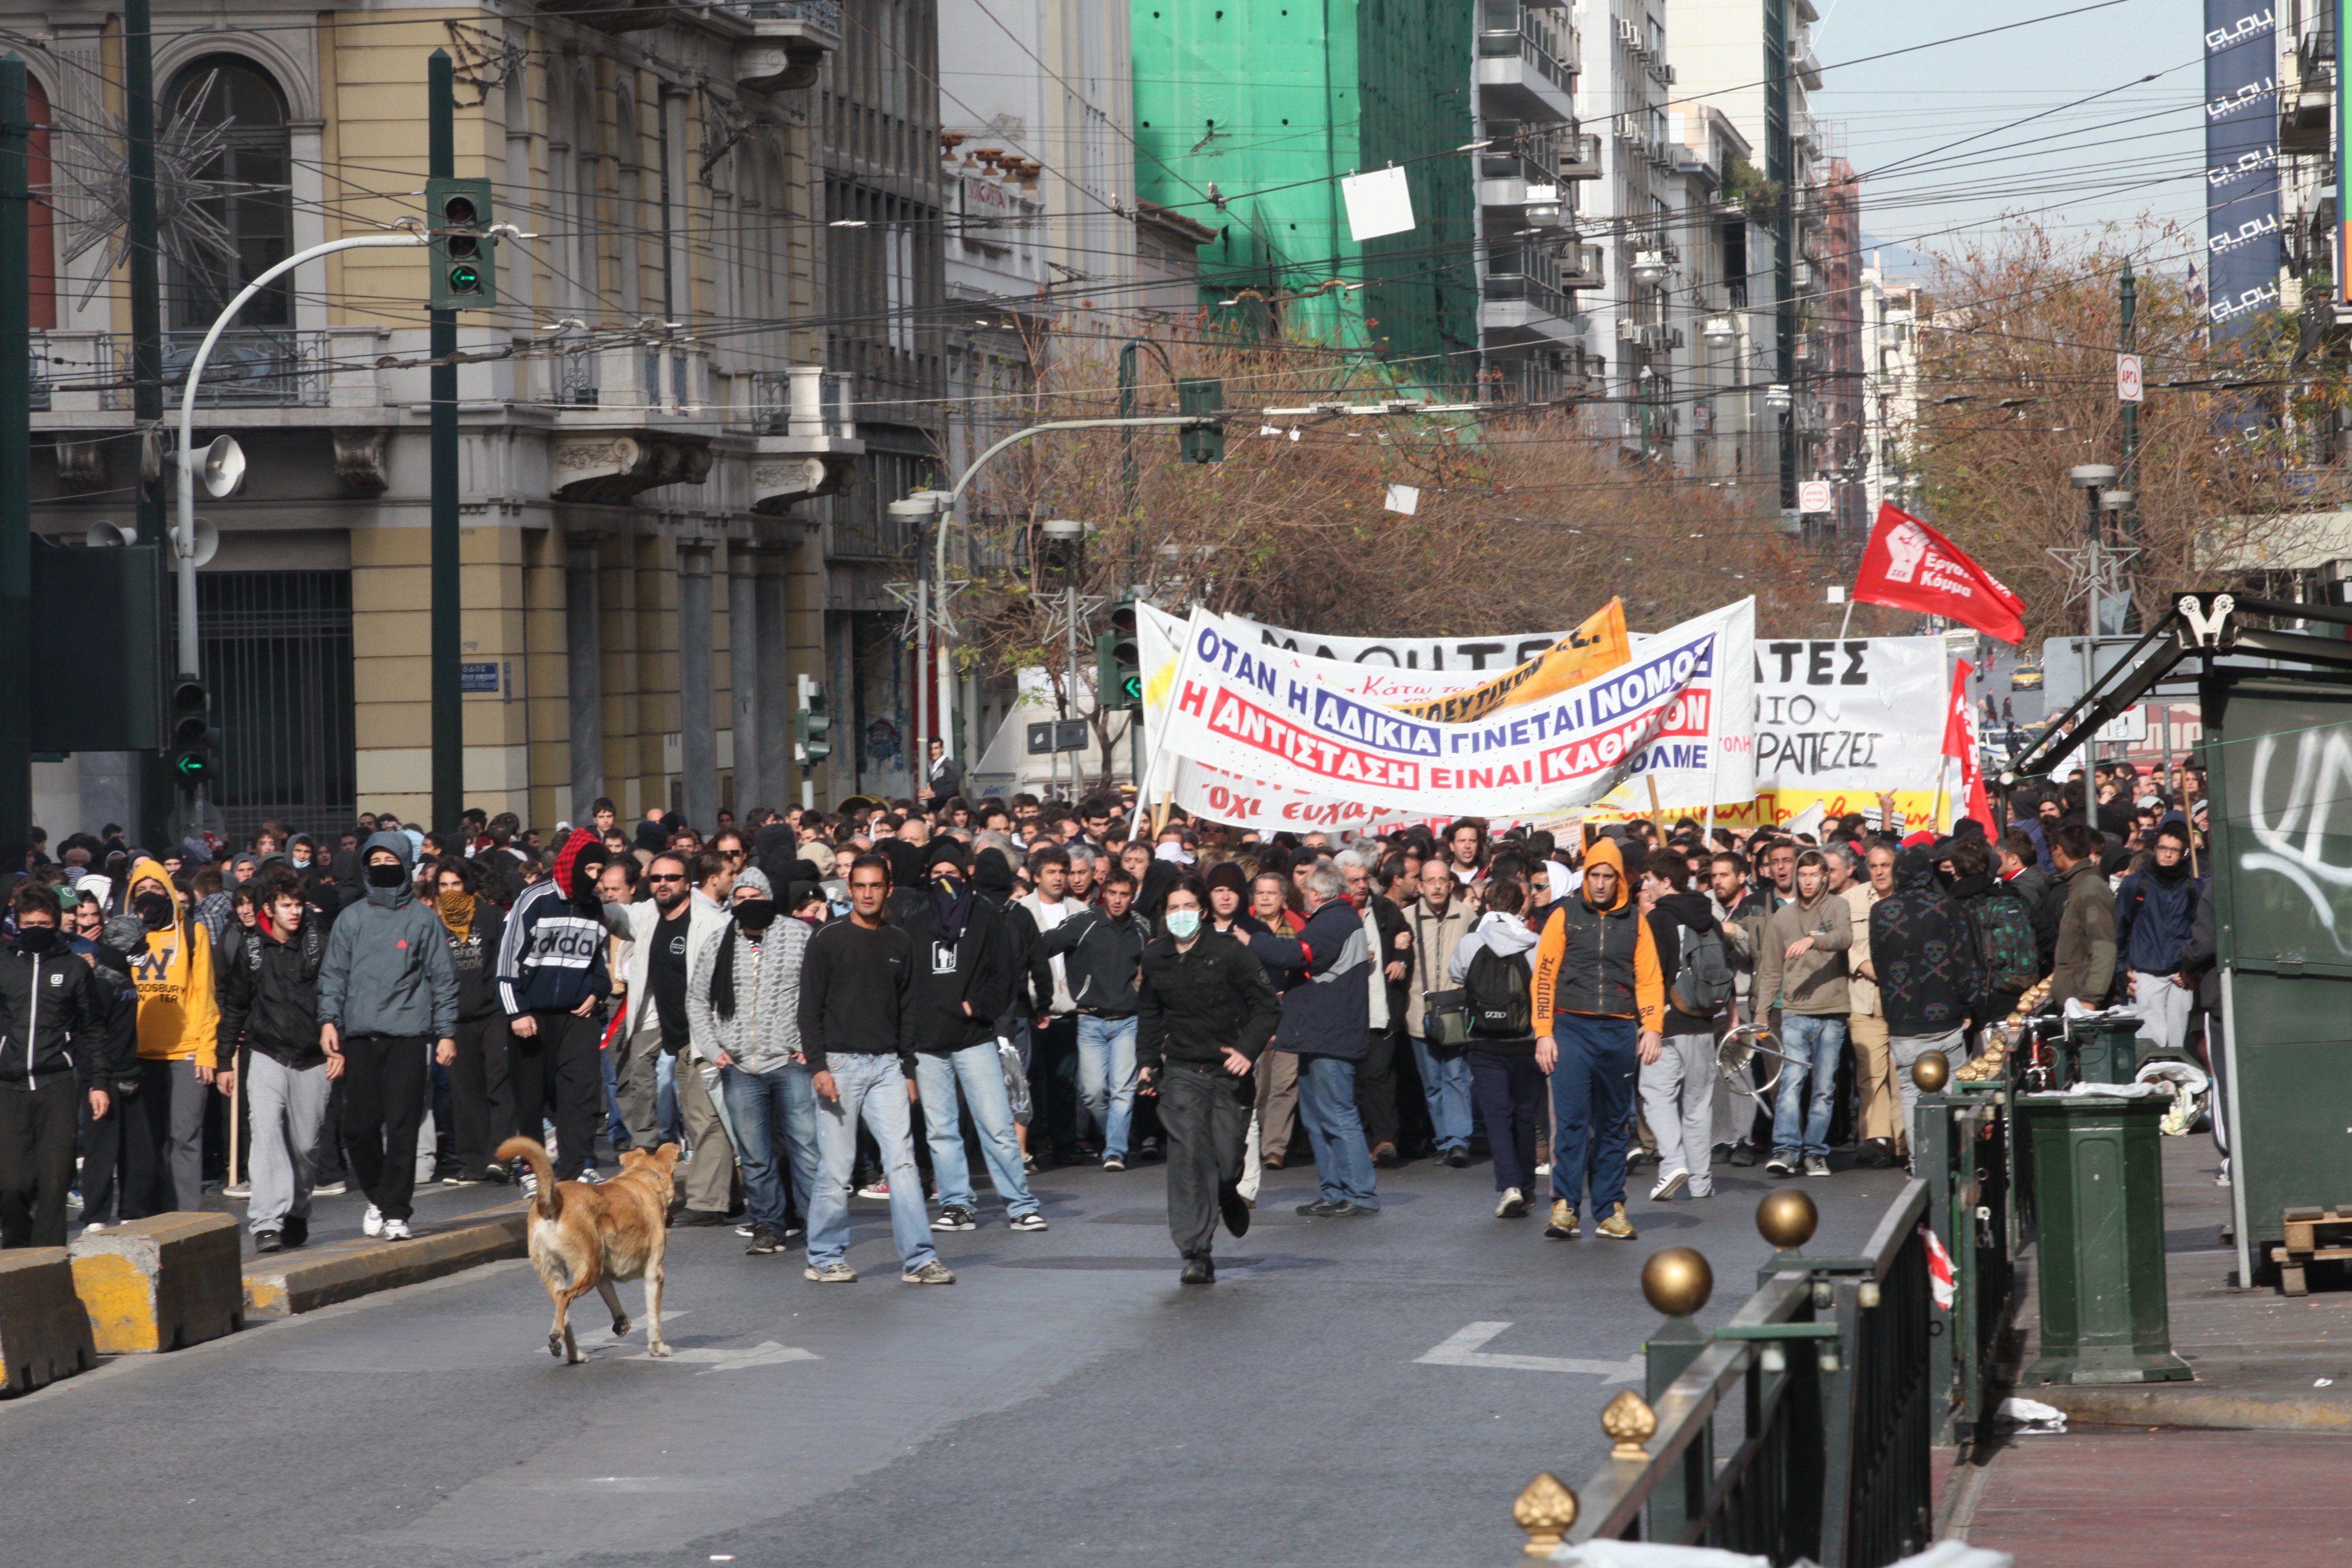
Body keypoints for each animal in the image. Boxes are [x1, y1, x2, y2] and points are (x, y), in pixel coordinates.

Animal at [496, 1133, 682, 1363]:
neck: (642, 1177)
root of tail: (553, 1200)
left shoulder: (603, 1275)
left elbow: (612, 1298)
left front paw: (621, 1321)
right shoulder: (654, 1274)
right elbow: (654, 1318)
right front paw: (658, 1348)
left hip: (563, 1270)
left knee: (563, 1312)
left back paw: (572, 1352)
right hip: (588, 1271)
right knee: (564, 1296)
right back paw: (558, 1338)